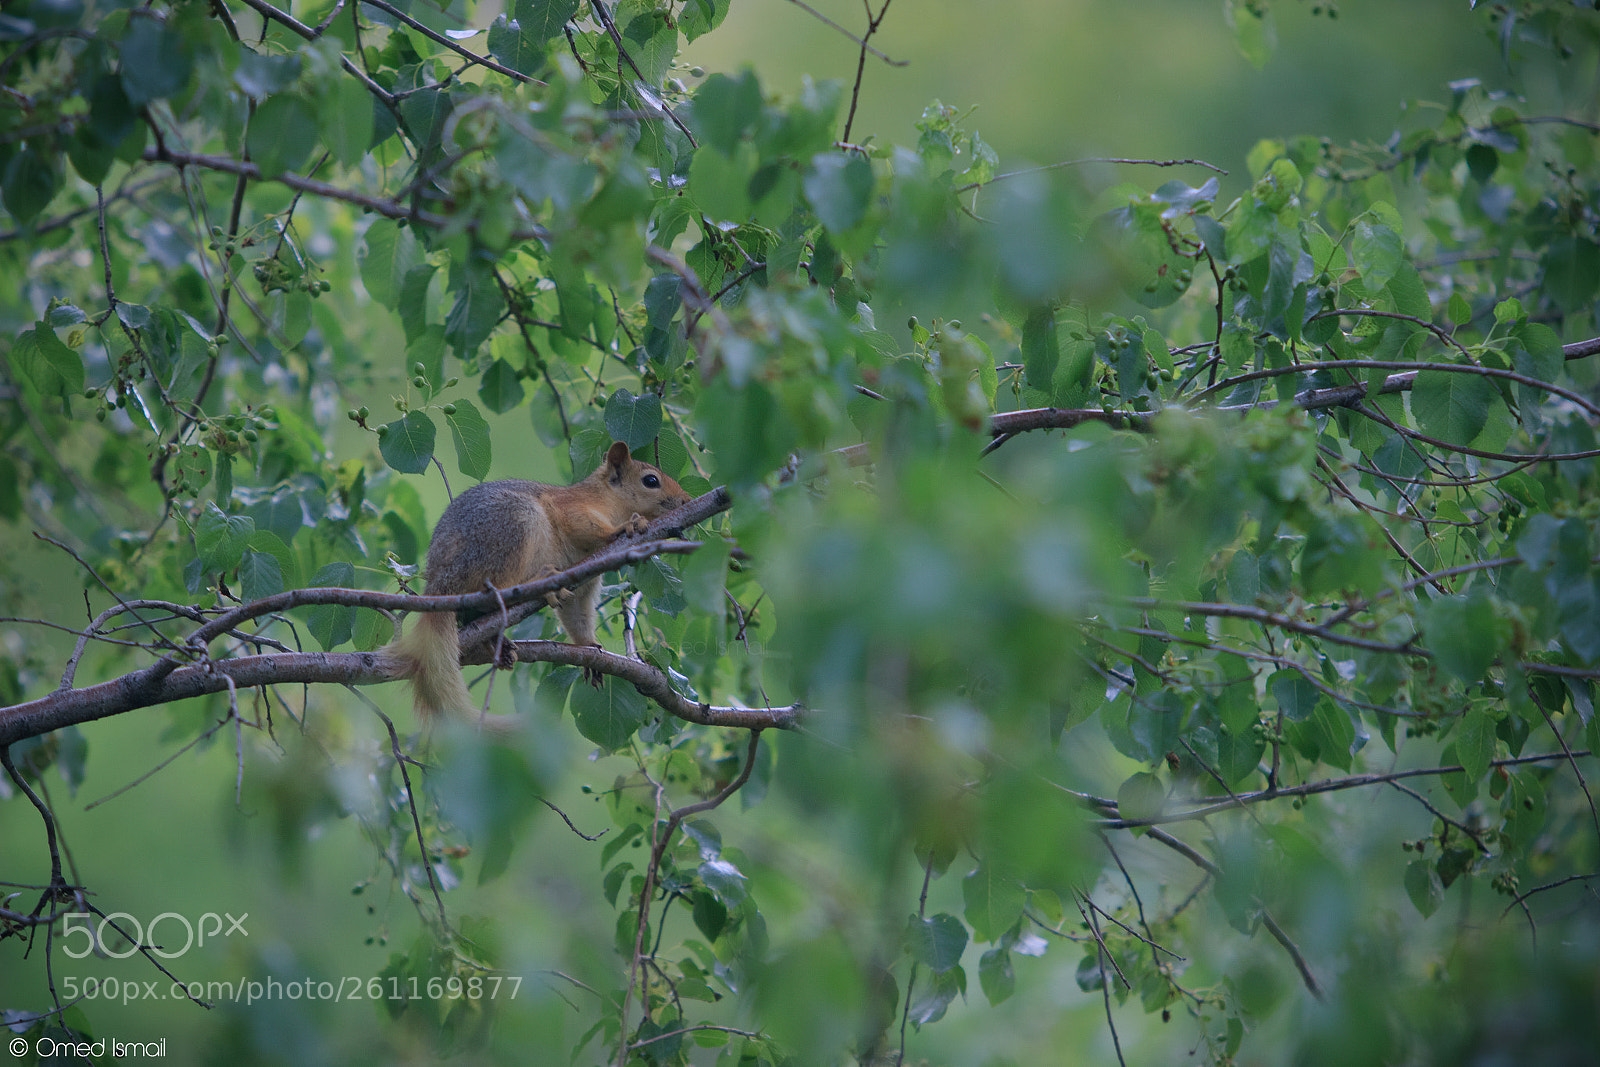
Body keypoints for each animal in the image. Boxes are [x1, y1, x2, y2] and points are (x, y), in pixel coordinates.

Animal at [378, 440, 690, 724]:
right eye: (651, 480)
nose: (687, 501)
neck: (606, 499)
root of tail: (441, 583)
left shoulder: (585, 583)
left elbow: (577, 615)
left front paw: (589, 645)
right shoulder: (571, 508)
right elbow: (585, 525)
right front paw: (627, 526)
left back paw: (497, 642)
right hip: (514, 525)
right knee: (496, 588)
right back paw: (539, 582)